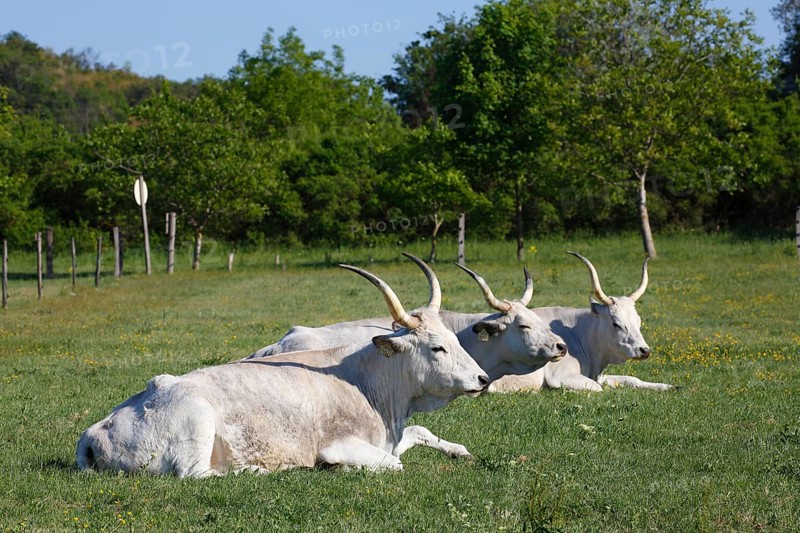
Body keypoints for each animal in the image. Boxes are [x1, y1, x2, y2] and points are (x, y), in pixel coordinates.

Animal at [76, 260, 489, 477]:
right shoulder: (341, 444)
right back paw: (257, 470)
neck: (368, 381)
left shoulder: (392, 433)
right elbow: (393, 463)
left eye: (453, 341)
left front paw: (460, 451)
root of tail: (95, 430)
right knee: (196, 473)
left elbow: (420, 432)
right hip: (198, 420)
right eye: (437, 347)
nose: (483, 379)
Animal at [489, 252, 675, 393]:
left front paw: (668, 386)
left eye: (638, 321)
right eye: (616, 323)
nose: (644, 350)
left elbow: (633, 379)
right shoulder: (561, 376)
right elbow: (597, 388)